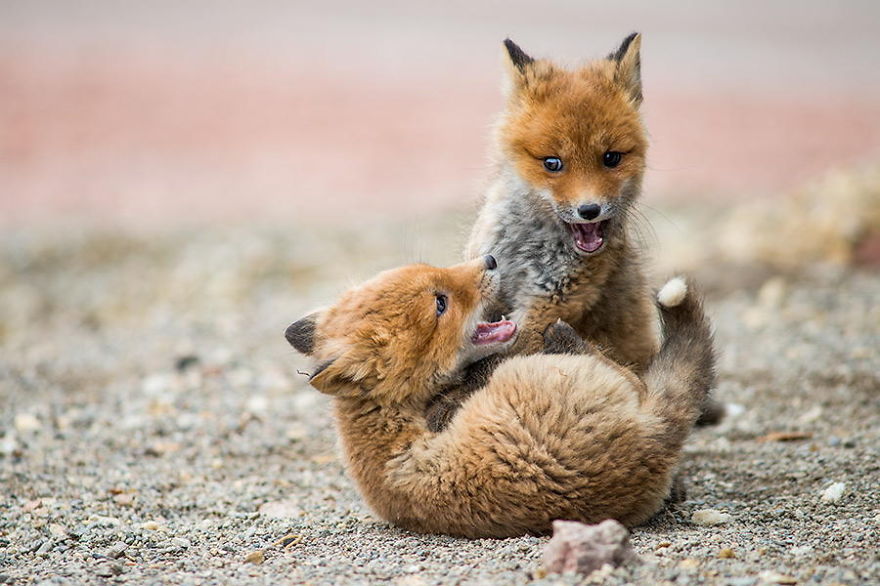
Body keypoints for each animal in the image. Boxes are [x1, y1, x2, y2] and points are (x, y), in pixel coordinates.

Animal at [427, 34, 722, 431]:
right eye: (553, 163)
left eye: (611, 158)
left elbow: (491, 362)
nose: (589, 210)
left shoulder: (551, 304)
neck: (530, 248)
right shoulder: (491, 289)